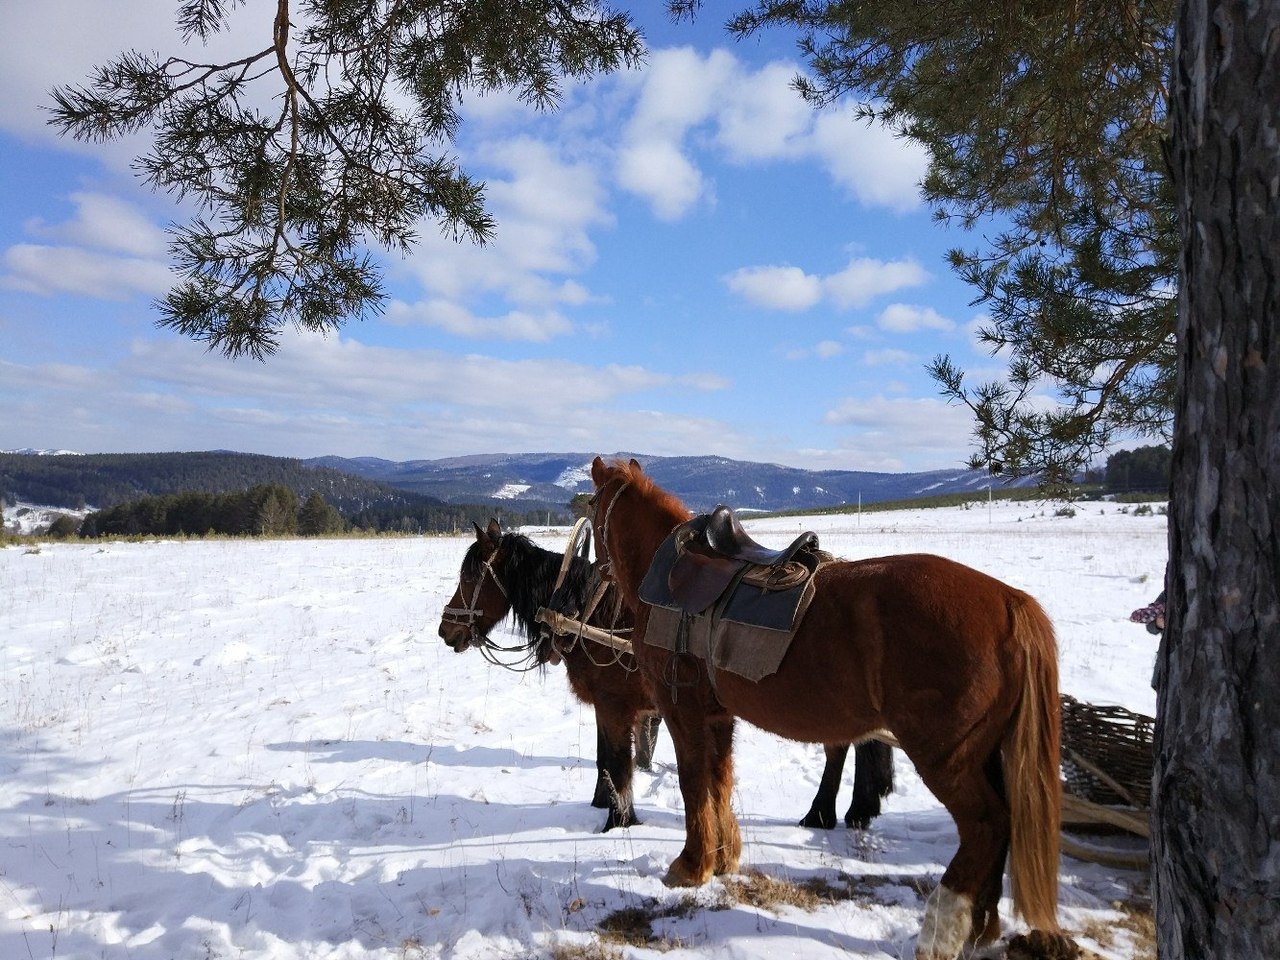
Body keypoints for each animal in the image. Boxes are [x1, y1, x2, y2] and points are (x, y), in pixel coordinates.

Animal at [586, 458, 1059, 960]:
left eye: (591, 506)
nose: (596, 574)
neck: (672, 581)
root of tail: (1010, 601)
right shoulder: (718, 718)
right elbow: (720, 782)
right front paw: (724, 857)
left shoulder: (683, 714)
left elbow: (694, 784)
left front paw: (692, 865)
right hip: (984, 755)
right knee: (1004, 825)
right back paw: (980, 929)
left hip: (948, 759)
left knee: (986, 826)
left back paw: (940, 931)